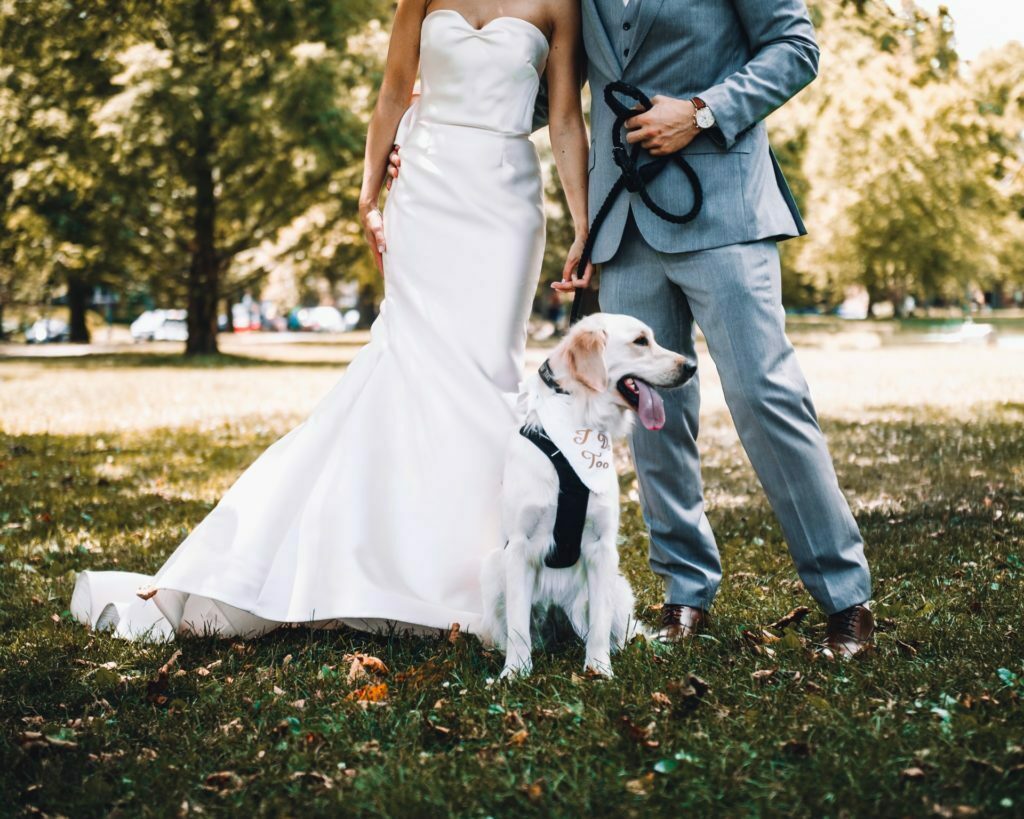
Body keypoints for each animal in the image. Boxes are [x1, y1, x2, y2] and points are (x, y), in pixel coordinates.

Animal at [479, 311, 696, 675]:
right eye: (641, 341)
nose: (691, 367)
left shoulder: (602, 547)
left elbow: (598, 623)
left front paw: (598, 669)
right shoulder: (519, 546)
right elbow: (518, 625)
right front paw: (514, 672)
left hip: (617, 587)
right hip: (495, 572)